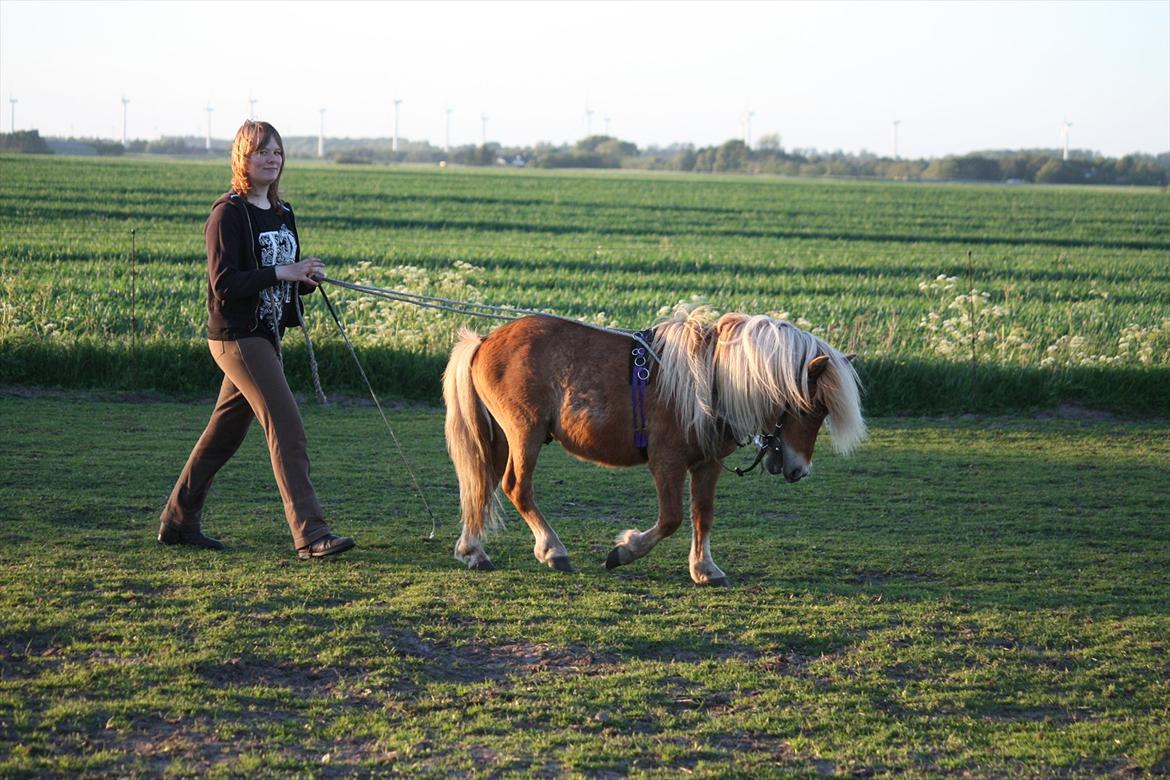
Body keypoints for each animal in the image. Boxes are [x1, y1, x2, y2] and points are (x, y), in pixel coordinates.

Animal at [442, 304, 865, 584]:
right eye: (810, 408)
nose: (799, 470)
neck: (712, 380)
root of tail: (485, 341)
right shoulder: (667, 462)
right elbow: (672, 518)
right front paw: (625, 550)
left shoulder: (707, 464)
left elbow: (702, 514)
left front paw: (704, 568)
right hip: (524, 433)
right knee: (516, 487)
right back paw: (552, 550)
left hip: (500, 437)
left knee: (483, 484)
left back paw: (473, 551)